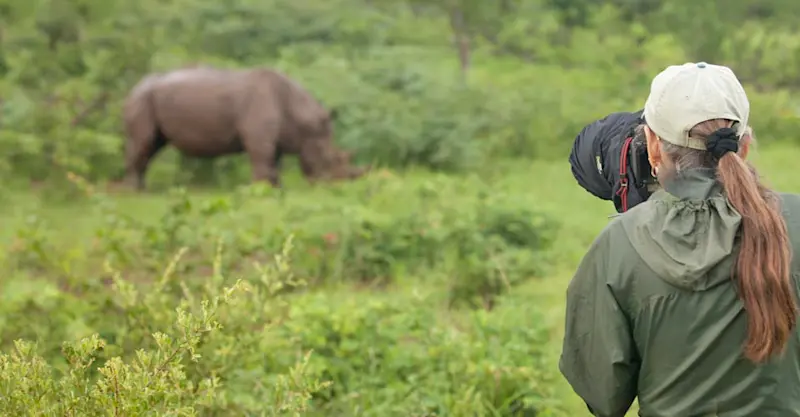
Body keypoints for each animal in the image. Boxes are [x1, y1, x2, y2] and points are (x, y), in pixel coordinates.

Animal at [121, 66, 368, 190]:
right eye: (330, 160)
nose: (336, 186)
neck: (302, 119)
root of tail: (135, 86)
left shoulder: (277, 138)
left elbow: (274, 163)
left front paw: (275, 190)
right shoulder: (259, 136)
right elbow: (262, 160)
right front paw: (259, 191)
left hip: (149, 98)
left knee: (153, 145)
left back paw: (142, 189)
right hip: (142, 99)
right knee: (143, 143)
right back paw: (135, 192)